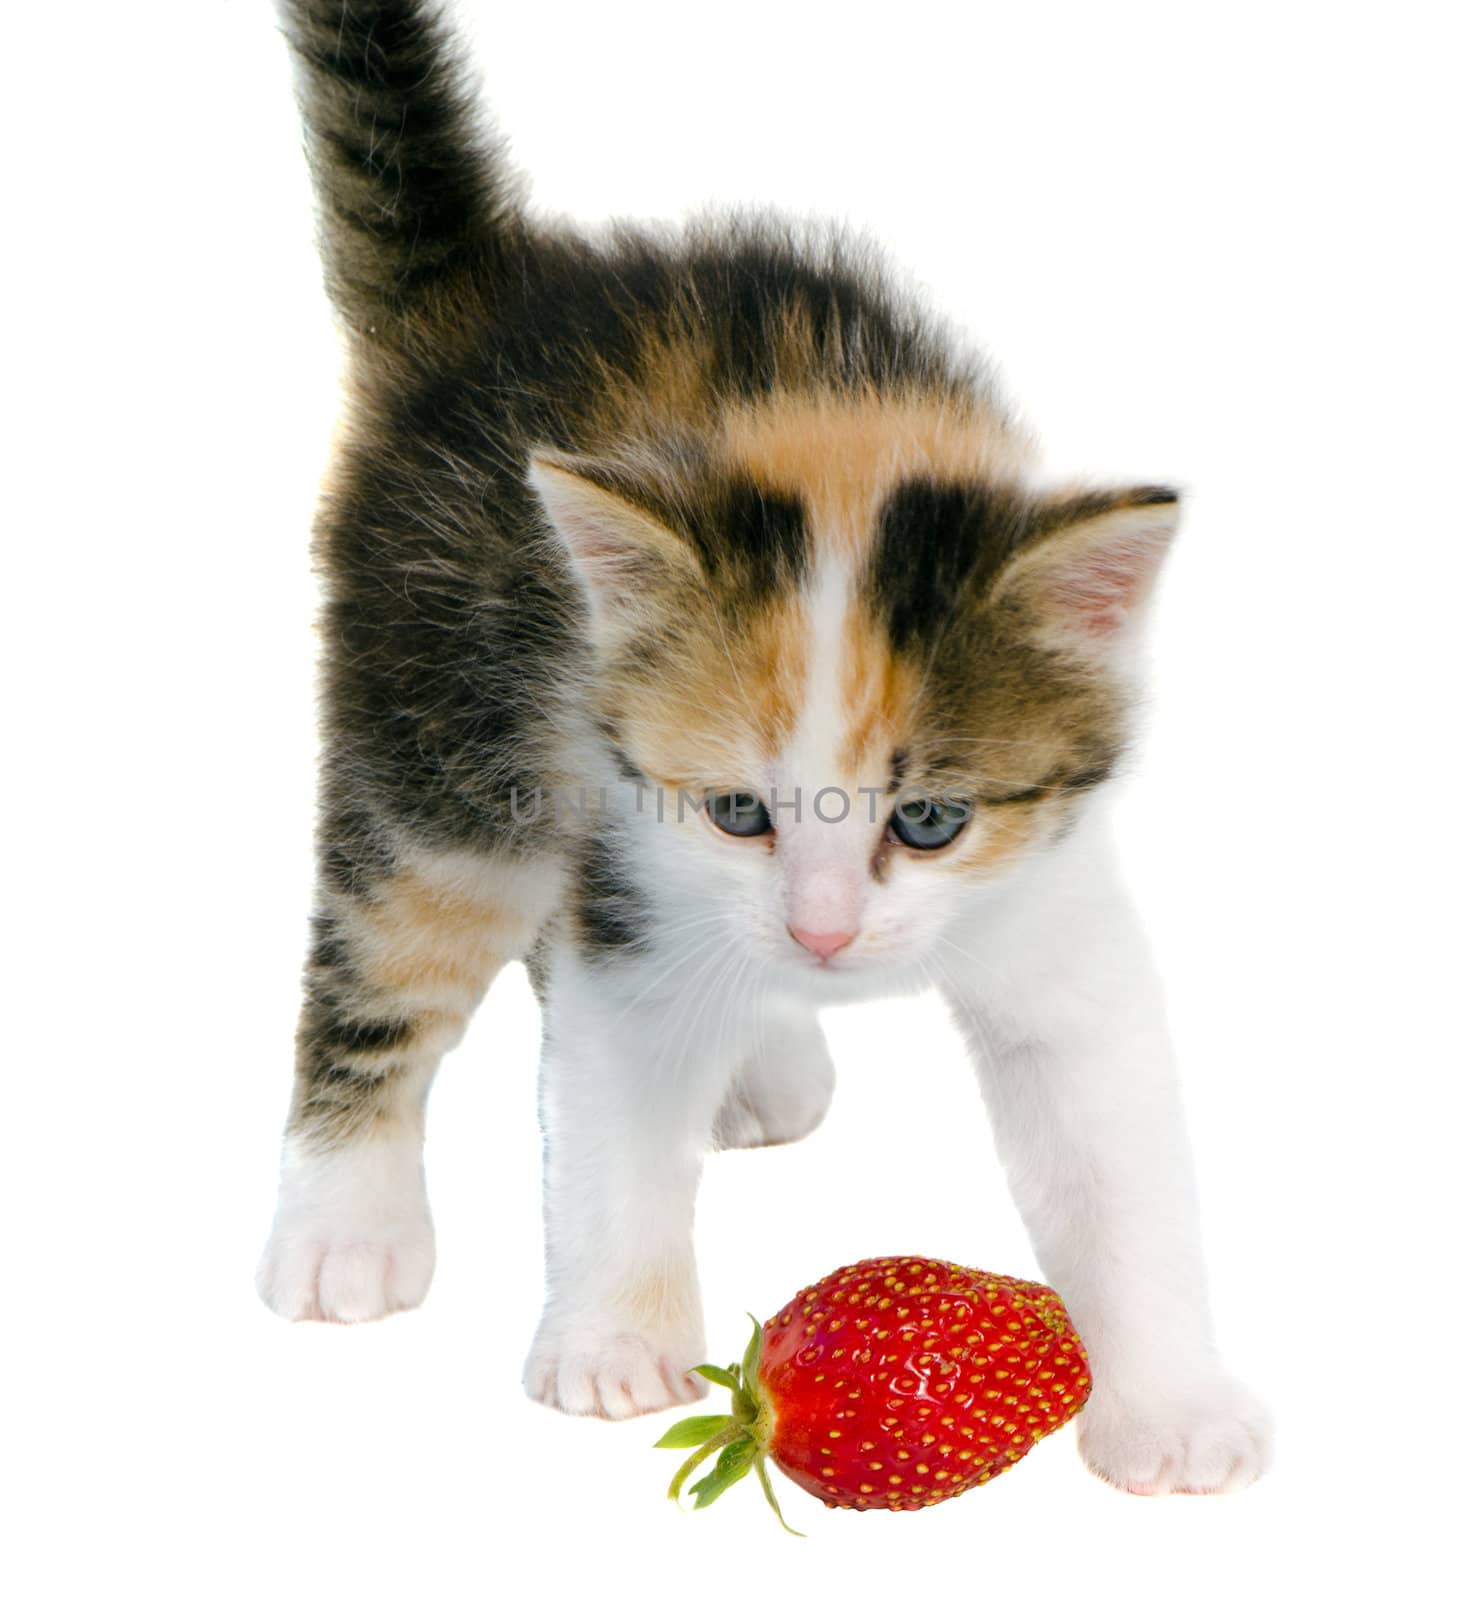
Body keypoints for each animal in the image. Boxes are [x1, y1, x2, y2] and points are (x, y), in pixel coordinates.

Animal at [259, 3, 1273, 1497]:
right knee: (394, 943)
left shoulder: (1051, 888)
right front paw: (614, 1343)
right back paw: (343, 1225)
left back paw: (759, 1059)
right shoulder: (633, 855)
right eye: (739, 811)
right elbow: (609, 1103)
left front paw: (1171, 1405)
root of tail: (504, 288)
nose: (823, 938)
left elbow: (1110, 1140)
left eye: (928, 821)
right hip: (440, 710)